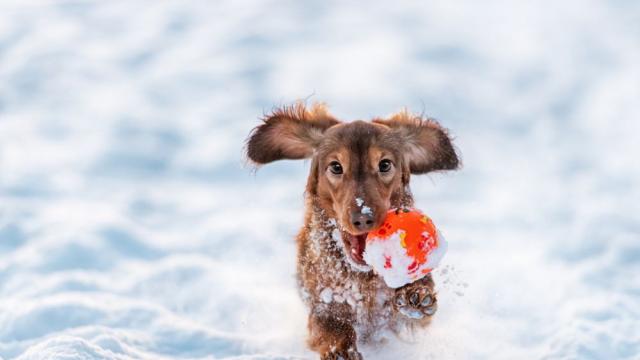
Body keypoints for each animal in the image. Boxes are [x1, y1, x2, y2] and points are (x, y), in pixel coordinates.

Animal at [246, 102, 460, 358]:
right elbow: (329, 323)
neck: (362, 277)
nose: (363, 218)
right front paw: (340, 348)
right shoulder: (322, 302)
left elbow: (417, 304)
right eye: (336, 167)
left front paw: (415, 295)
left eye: (384, 165)